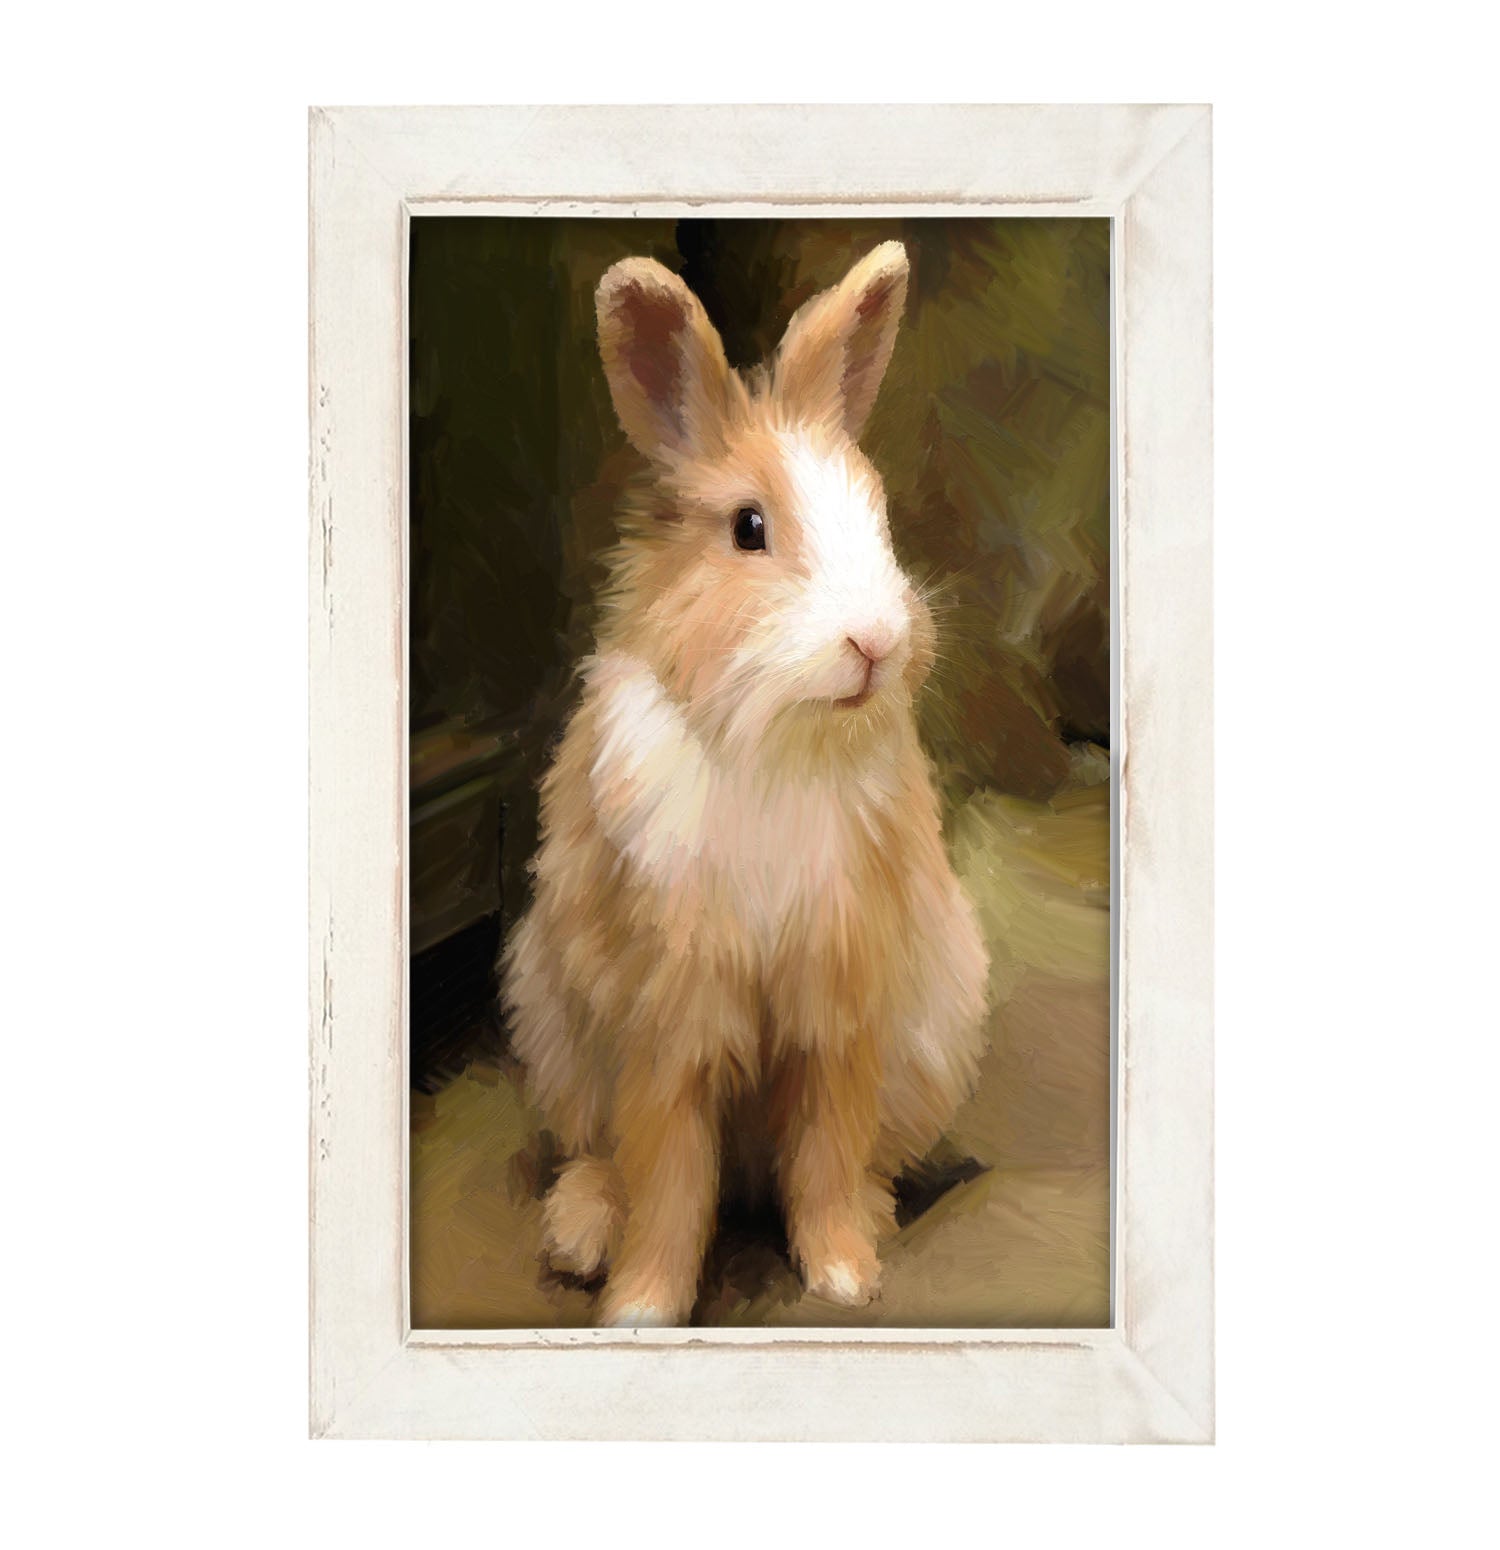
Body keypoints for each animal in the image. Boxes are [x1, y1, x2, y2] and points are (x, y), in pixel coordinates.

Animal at [501, 240, 990, 1327]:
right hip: (555, 1024)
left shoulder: (839, 1002)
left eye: (877, 513)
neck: (775, 739)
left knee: (858, 1157)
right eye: (750, 527)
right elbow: (670, 1173)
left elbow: (826, 1150)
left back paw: (875, 1214)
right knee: (602, 1155)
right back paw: (580, 1233)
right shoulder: (668, 1015)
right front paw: (641, 1307)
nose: (875, 642)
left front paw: (845, 1273)